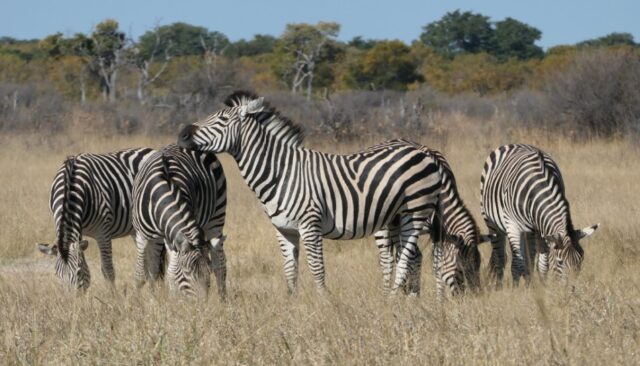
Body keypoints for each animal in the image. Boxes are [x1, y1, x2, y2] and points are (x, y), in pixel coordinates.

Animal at [38, 147, 157, 294]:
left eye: (78, 272)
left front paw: (113, 297)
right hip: (136, 230)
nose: (72, 300)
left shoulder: (102, 232)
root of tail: (150, 150)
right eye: (57, 274)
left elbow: (107, 270)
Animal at [131, 143, 229, 298]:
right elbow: (143, 274)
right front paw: (141, 300)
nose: (203, 303)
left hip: (217, 215)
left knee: (219, 263)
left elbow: (170, 272)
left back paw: (223, 299)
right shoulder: (142, 235)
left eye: (208, 272)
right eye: (187, 272)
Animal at [178, 91, 442, 294]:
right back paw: (411, 299)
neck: (280, 173)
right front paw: (293, 304)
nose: (181, 134)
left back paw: (393, 299)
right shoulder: (284, 230)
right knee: (414, 257)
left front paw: (325, 304)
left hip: (415, 211)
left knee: (406, 258)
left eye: (222, 119)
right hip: (397, 216)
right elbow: (289, 270)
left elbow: (317, 270)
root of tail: (423, 149)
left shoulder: (310, 225)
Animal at [480, 144, 600, 286]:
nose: (571, 288)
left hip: (530, 231)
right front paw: (516, 289)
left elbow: (542, 265)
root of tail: (515, 144)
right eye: (560, 261)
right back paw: (499, 286)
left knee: (529, 259)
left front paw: (542, 288)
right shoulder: (513, 226)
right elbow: (516, 263)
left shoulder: (542, 227)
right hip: (493, 224)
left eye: (581, 258)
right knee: (500, 257)